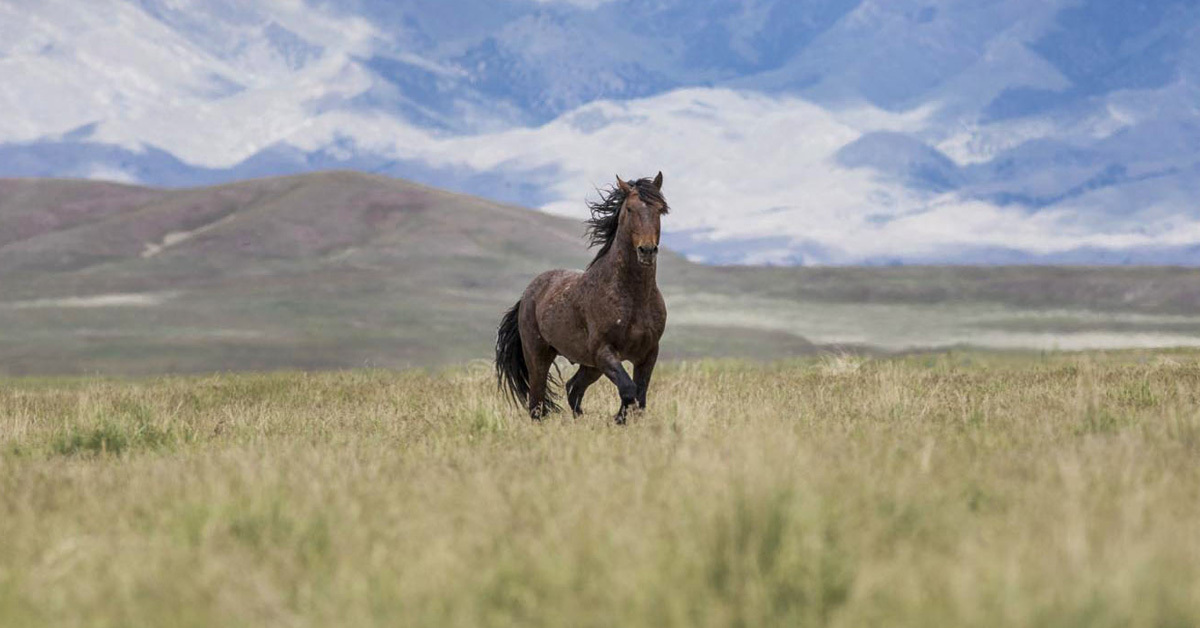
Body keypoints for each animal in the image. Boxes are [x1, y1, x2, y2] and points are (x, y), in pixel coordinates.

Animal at [495, 172, 669, 424]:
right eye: (629, 209)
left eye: (660, 210)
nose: (647, 251)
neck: (633, 296)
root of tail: (528, 293)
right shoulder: (604, 352)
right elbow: (629, 391)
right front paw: (618, 420)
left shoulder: (647, 354)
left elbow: (640, 396)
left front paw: (623, 421)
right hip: (539, 356)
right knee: (536, 402)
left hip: (591, 366)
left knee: (572, 388)